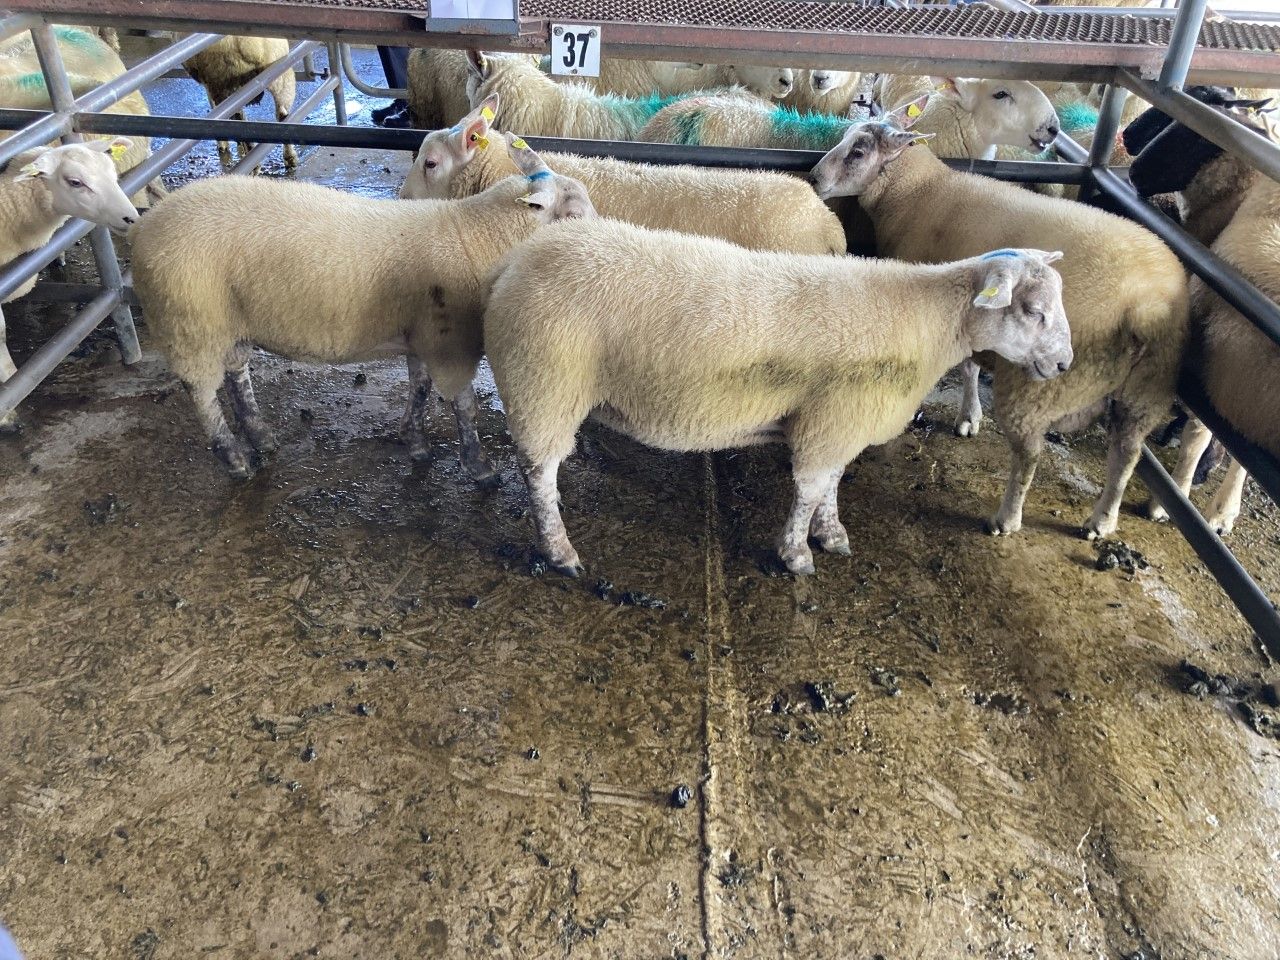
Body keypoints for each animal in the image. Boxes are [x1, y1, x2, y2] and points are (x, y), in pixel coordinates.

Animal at [129, 133, 594, 482]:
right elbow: (465, 407)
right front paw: (479, 468)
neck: (478, 236)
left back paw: (261, 437)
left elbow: (419, 388)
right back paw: (235, 459)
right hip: (189, 320)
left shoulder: (424, 335)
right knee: (203, 394)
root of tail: (144, 228)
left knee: (236, 374)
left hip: (226, 321)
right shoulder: (450, 343)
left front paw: (416, 443)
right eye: (574, 212)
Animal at [178, 35, 297, 170]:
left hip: (222, 84)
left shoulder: (208, 84)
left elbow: (213, 107)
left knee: (239, 120)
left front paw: (223, 144)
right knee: (282, 114)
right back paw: (287, 158)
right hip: (281, 75)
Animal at [483, 216, 1071, 576]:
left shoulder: (841, 420)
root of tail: (515, 262)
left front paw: (831, 534)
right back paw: (558, 549)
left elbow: (832, 483)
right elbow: (810, 488)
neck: (928, 324)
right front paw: (796, 554)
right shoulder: (832, 420)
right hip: (543, 383)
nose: (1066, 363)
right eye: (1033, 311)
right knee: (538, 474)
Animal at [811, 120, 1189, 539]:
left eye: (858, 152)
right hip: (1144, 395)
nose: (813, 178)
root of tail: (1148, 307)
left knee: (1030, 454)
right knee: (1126, 455)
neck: (917, 193)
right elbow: (972, 366)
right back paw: (1102, 520)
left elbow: (962, 366)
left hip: (1039, 383)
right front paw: (970, 417)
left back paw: (1007, 518)